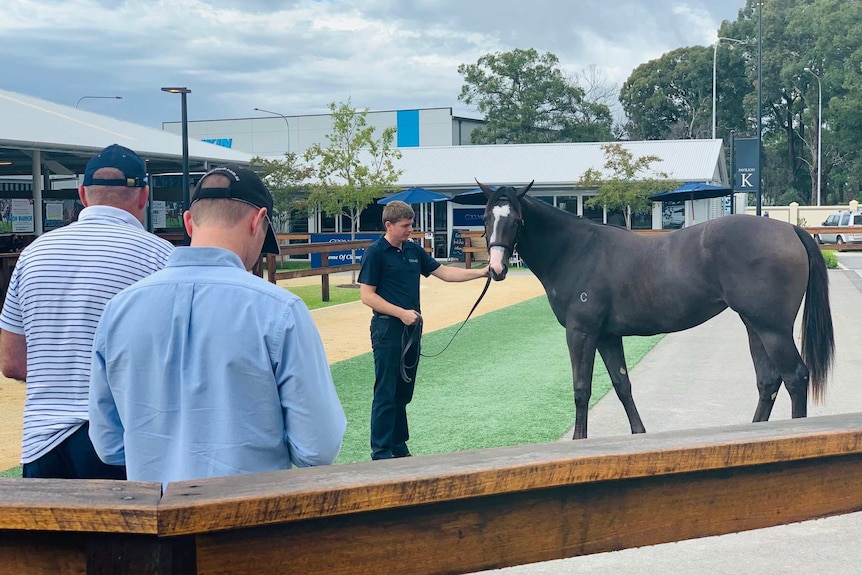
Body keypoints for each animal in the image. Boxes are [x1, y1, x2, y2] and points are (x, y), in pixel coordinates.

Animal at [480, 182, 836, 438]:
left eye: (516, 220)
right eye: (486, 218)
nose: (496, 267)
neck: (577, 250)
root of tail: (790, 230)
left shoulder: (581, 333)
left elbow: (582, 390)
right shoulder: (607, 336)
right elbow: (622, 386)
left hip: (772, 329)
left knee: (795, 377)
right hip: (754, 324)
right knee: (768, 381)